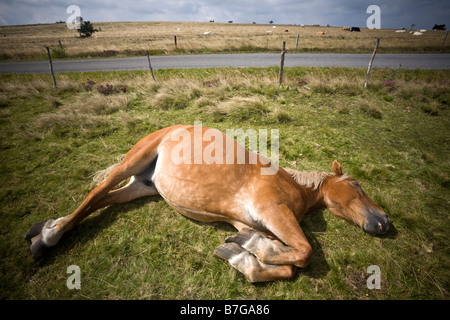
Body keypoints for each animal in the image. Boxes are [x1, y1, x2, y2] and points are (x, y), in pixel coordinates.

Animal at [25, 124, 390, 282]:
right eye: (356, 184)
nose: (384, 222)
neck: (295, 187)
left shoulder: (250, 222)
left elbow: (285, 265)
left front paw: (240, 254)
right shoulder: (273, 212)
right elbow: (303, 252)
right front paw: (248, 250)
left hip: (144, 186)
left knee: (102, 200)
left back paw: (44, 232)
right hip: (132, 161)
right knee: (95, 194)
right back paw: (48, 235)